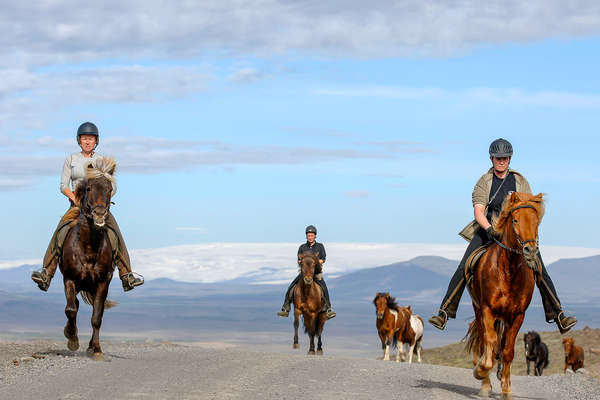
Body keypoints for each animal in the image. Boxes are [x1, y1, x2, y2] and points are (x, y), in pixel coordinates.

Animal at [60, 158, 119, 360]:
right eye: (88, 188)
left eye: (109, 188)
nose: (99, 213)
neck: (88, 248)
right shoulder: (69, 279)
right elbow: (70, 310)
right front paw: (72, 340)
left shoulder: (102, 282)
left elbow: (96, 317)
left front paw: (96, 349)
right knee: (74, 306)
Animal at [466, 192, 548, 398]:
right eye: (515, 220)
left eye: (536, 222)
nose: (530, 250)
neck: (509, 271)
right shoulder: (487, 310)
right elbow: (489, 344)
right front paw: (481, 371)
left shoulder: (517, 316)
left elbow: (508, 351)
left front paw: (506, 389)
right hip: (479, 311)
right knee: (485, 342)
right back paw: (485, 384)